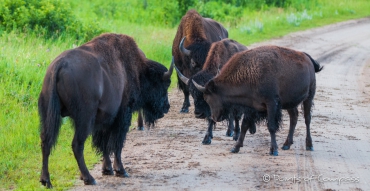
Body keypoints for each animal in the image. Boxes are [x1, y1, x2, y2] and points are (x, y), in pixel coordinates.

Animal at [38, 33, 174, 188]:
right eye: (163, 85)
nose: (166, 107)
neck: (138, 71)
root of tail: (58, 65)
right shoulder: (122, 116)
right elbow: (116, 143)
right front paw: (121, 171)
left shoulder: (104, 120)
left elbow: (104, 144)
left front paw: (107, 169)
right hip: (85, 119)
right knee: (77, 145)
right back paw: (89, 178)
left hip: (49, 115)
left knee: (46, 141)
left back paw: (46, 180)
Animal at [192, 45, 322, 156]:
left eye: (208, 98)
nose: (214, 117)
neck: (250, 73)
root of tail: (307, 58)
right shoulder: (251, 107)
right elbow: (244, 126)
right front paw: (235, 147)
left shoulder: (272, 104)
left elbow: (271, 127)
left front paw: (273, 150)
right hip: (290, 103)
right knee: (294, 118)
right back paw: (286, 144)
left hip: (309, 97)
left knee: (307, 119)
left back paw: (309, 145)